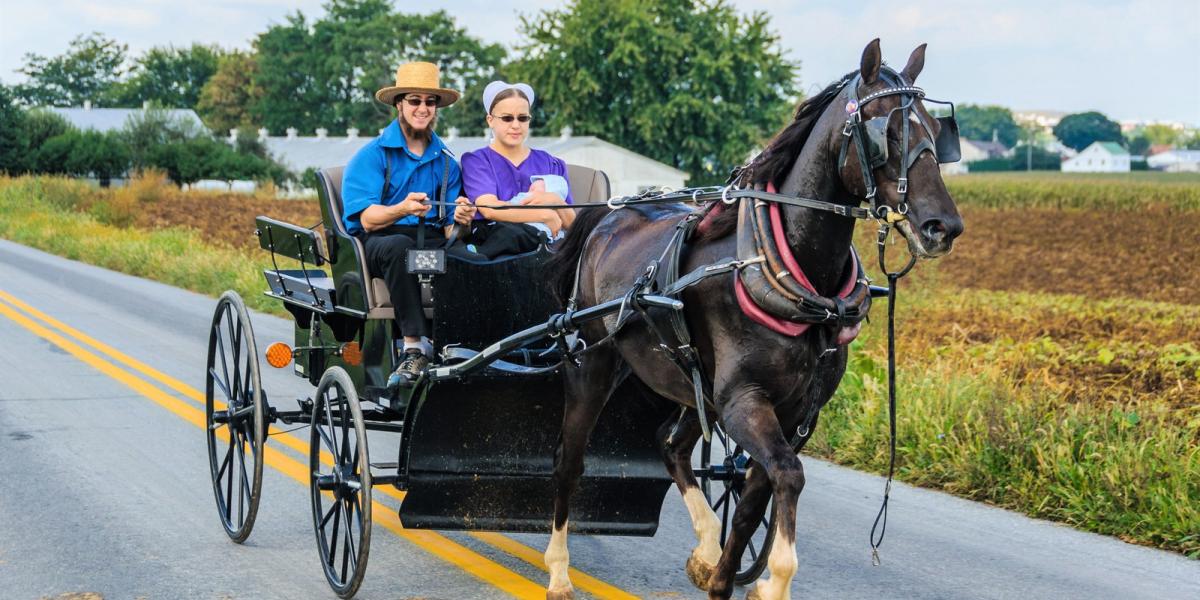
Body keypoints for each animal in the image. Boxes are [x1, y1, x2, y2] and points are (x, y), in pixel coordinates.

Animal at [544, 38, 964, 600]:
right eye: (885, 130)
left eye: (936, 130)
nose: (943, 226)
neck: (794, 272)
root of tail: (611, 213)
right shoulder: (744, 400)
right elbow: (789, 474)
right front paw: (773, 580)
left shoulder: (798, 412)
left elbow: (752, 501)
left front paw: (723, 575)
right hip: (595, 365)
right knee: (569, 462)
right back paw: (559, 572)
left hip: (692, 386)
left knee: (671, 446)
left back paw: (705, 548)